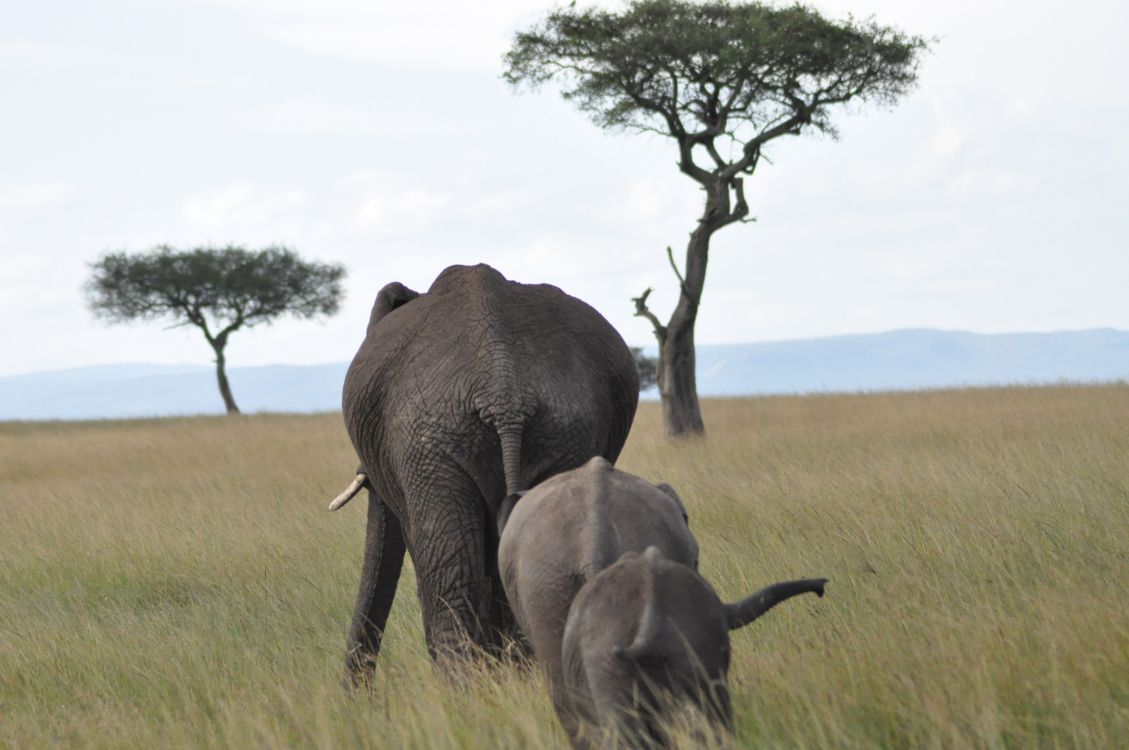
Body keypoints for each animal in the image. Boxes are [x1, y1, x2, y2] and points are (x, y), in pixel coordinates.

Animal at [329, 264, 639, 683]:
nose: (356, 692)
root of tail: (502, 390)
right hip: (561, 435)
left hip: (433, 444)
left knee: (451, 580)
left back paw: (464, 690)